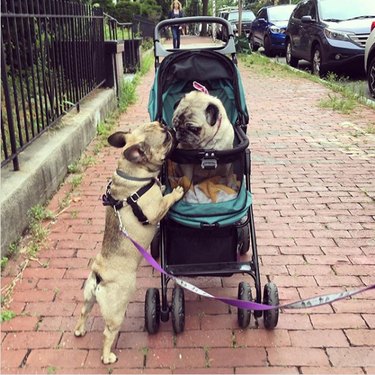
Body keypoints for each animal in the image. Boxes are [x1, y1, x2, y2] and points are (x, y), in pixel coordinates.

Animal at [74, 122, 184, 366]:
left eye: (161, 125)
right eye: (165, 138)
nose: (169, 126)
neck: (134, 175)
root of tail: (99, 276)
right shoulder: (155, 211)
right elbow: (166, 200)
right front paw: (176, 191)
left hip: (88, 297)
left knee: (84, 310)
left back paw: (79, 330)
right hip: (117, 311)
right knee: (108, 332)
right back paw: (107, 356)